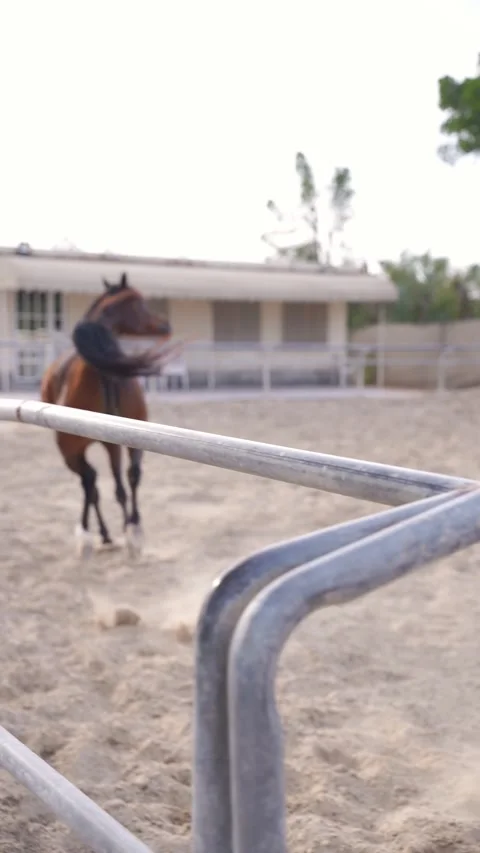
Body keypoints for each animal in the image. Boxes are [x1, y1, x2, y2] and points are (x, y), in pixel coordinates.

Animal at [41, 272, 176, 558]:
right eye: (141, 303)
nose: (165, 324)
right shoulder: (72, 450)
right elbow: (97, 483)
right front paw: (92, 533)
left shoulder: (127, 440)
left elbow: (125, 479)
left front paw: (131, 529)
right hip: (80, 450)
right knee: (94, 483)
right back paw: (102, 533)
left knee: (108, 482)